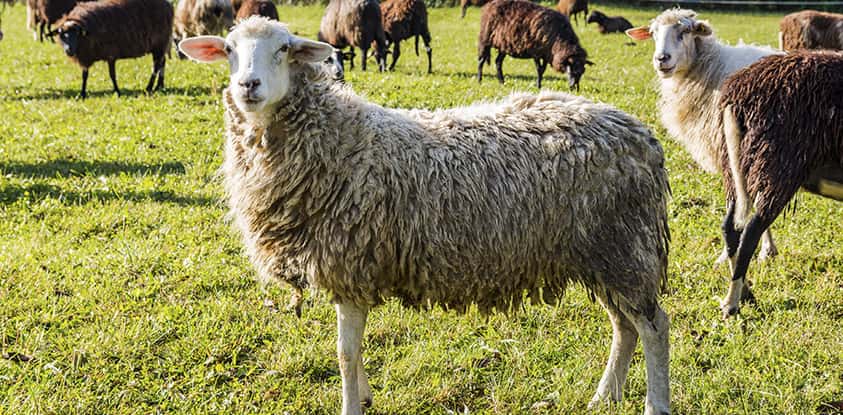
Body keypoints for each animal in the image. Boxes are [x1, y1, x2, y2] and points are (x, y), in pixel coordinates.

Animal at [179, 16, 672, 415]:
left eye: (283, 48)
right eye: (229, 49)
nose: (248, 86)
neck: (338, 139)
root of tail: (639, 133)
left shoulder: (350, 265)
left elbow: (345, 353)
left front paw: (352, 403)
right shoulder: (353, 269)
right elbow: (352, 352)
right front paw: (365, 396)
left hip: (624, 245)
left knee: (653, 327)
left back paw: (655, 403)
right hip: (601, 251)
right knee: (623, 327)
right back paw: (604, 396)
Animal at [626, 8, 783, 265]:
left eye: (684, 31)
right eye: (653, 33)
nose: (662, 59)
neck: (711, 70)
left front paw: (729, 255)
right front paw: (764, 250)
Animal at [716, 51, 843, 317]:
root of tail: (738, 95)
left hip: (736, 167)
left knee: (730, 229)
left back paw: (745, 293)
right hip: (777, 168)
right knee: (750, 233)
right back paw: (732, 304)